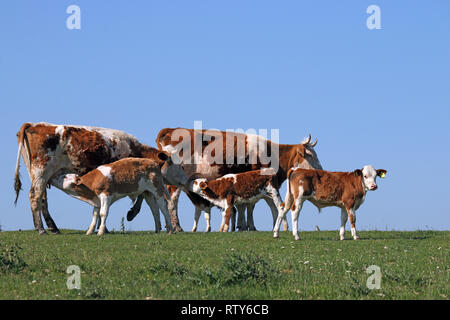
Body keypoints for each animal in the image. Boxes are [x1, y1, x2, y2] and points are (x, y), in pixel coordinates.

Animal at [13, 122, 186, 235]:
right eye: (178, 165)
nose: (184, 180)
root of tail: (33, 124)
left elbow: (145, 198)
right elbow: (141, 198)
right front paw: (131, 213)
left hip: (41, 175)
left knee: (42, 198)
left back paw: (52, 227)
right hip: (42, 172)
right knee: (35, 196)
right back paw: (41, 229)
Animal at [128, 128, 322, 232]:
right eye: (311, 155)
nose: (321, 170)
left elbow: (245, 205)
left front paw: (244, 225)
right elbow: (250, 205)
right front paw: (247, 226)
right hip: (175, 181)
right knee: (171, 202)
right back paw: (177, 227)